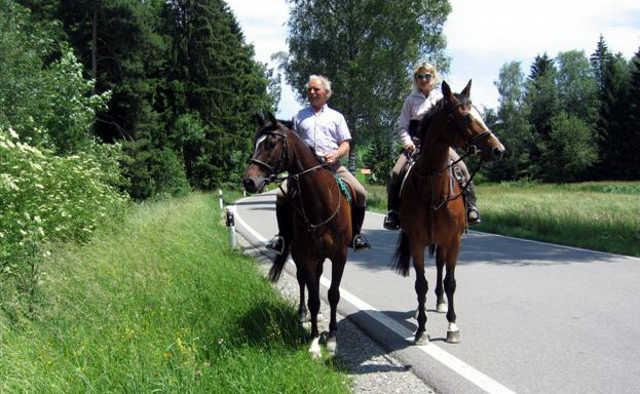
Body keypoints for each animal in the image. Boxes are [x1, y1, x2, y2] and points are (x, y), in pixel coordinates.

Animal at [240, 111, 352, 358]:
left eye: (271, 143)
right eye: (254, 143)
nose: (248, 181)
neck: (321, 203)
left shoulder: (339, 256)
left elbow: (333, 295)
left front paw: (332, 337)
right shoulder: (307, 256)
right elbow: (313, 299)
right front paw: (314, 340)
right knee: (303, 282)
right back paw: (302, 316)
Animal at [390, 81, 504, 344]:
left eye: (479, 113)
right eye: (465, 116)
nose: (498, 149)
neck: (433, 184)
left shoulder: (453, 241)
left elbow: (450, 281)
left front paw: (452, 325)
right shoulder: (417, 241)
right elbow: (420, 284)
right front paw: (422, 329)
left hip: (443, 241)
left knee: (441, 267)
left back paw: (441, 302)